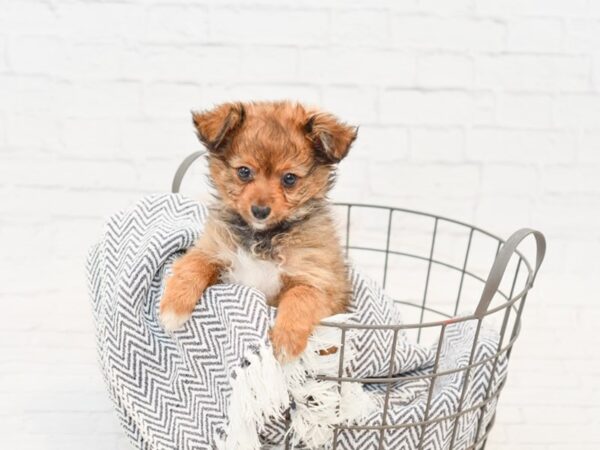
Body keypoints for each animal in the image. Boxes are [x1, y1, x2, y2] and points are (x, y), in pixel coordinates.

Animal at [158, 100, 356, 360]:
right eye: (244, 171)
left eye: (289, 178)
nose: (260, 211)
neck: (262, 237)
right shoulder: (213, 250)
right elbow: (192, 266)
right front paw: (173, 307)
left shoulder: (318, 280)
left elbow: (300, 297)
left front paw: (285, 342)